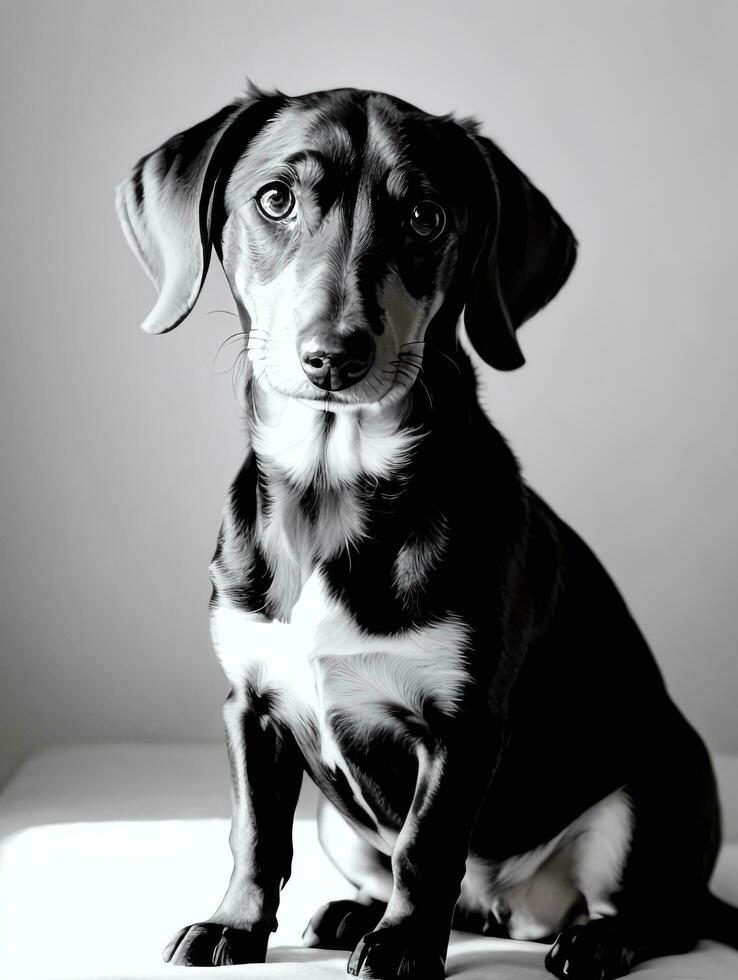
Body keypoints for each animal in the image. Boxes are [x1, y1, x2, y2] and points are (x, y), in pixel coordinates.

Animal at [115, 86, 736, 980]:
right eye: (276, 200)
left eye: (426, 216)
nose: (332, 354)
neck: (330, 495)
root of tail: (518, 910)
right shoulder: (251, 707)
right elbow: (254, 833)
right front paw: (233, 924)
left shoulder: (462, 725)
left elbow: (428, 845)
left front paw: (406, 946)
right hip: (339, 824)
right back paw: (353, 913)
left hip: (649, 791)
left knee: (657, 913)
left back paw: (593, 939)